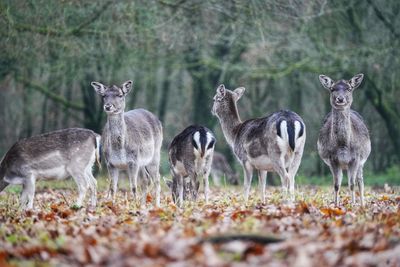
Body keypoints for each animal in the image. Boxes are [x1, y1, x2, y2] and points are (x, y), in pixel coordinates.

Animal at [318, 73, 372, 207]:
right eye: (332, 89)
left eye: (349, 88)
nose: (340, 99)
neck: (343, 145)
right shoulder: (332, 159)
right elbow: (336, 185)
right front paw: (335, 205)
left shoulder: (356, 158)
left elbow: (352, 184)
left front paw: (353, 204)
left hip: (361, 162)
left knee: (360, 181)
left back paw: (362, 204)